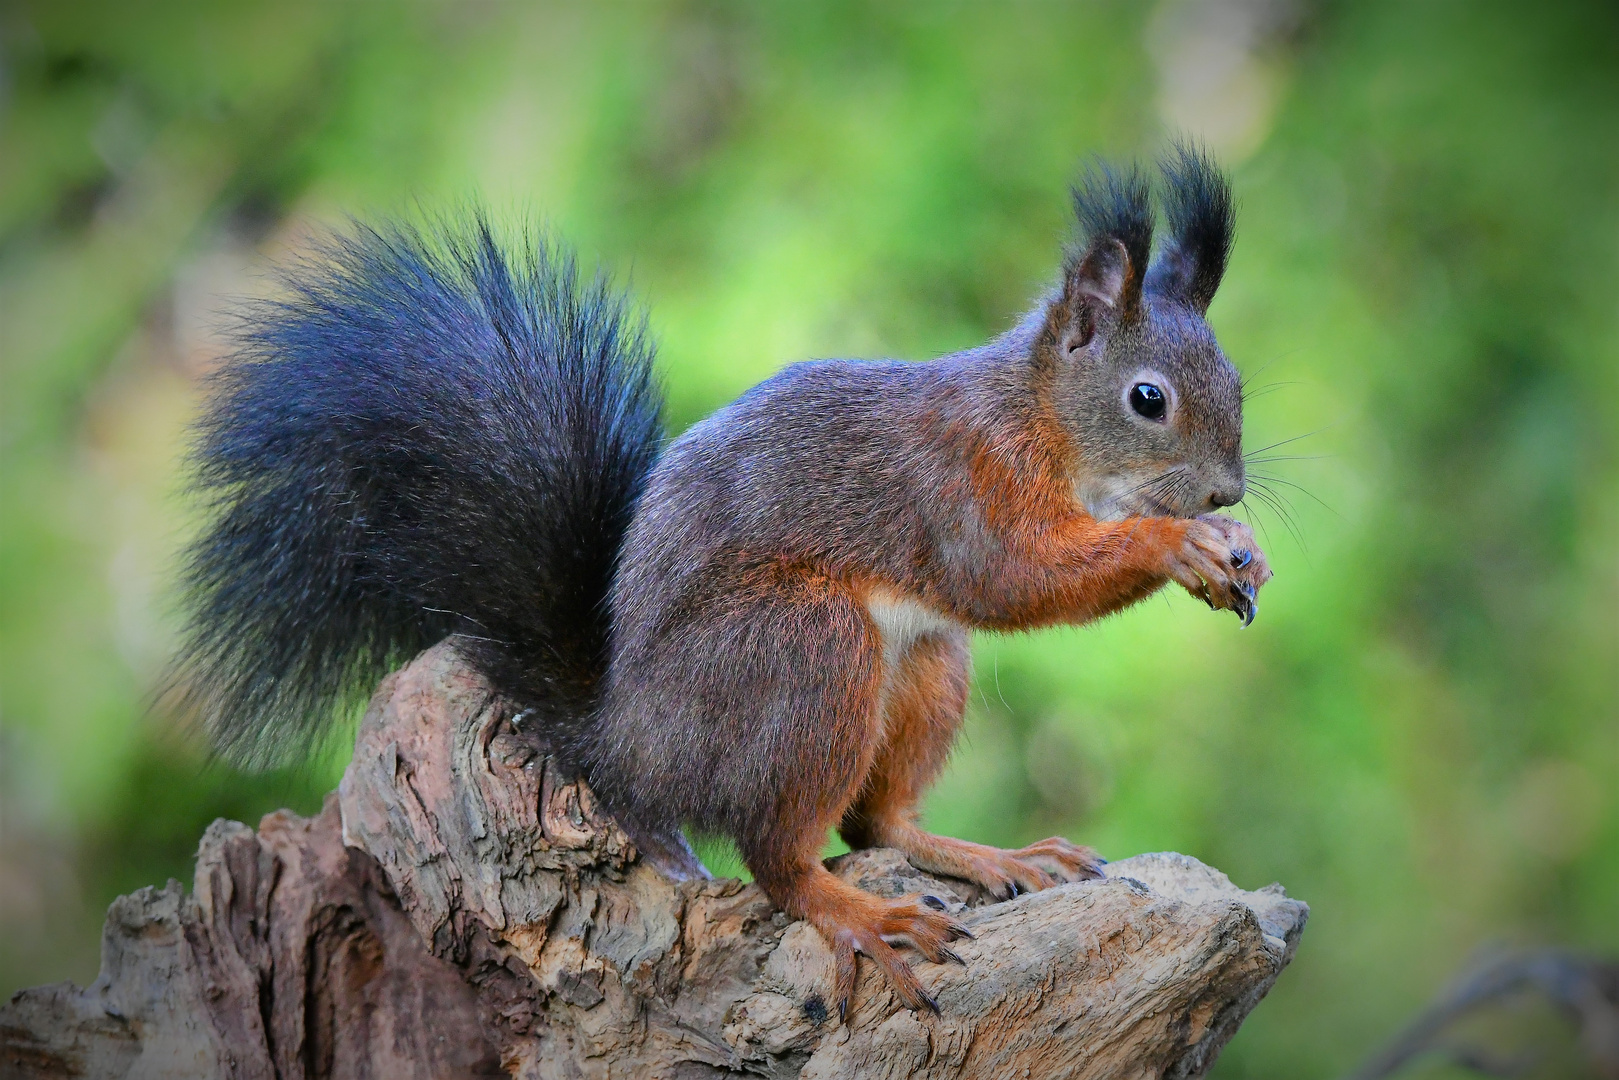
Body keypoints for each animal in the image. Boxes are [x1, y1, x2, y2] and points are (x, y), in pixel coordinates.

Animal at [174, 143, 1262, 1023]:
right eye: (1148, 398)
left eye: (1237, 383)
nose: (1226, 490)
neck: (1037, 420)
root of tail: (621, 746)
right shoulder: (959, 486)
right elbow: (1009, 577)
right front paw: (1180, 544)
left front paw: (1229, 546)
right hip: (804, 649)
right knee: (782, 859)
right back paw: (854, 914)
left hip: (921, 661)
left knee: (879, 821)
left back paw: (988, 857)